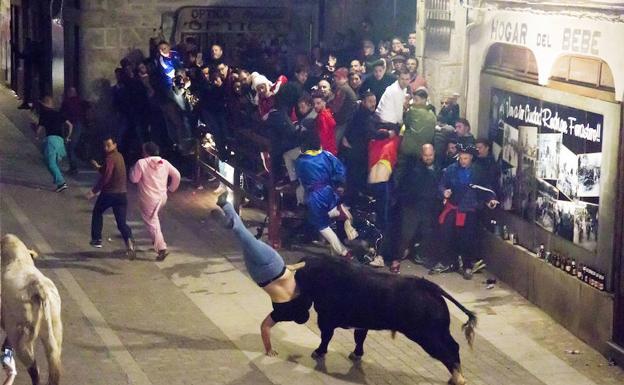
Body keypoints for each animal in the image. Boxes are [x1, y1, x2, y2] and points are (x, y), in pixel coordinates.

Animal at [294, 255, 476, 384]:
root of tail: (430, 287)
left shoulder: (326, 319)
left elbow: (326, 337)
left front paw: (318, 352)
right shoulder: (361, 324)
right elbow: (359, 339)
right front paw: (356, 354)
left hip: (427, 337)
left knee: (447, 352)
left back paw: (458, 379)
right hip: (440, 332)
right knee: (454, 347)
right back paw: (456, 377)